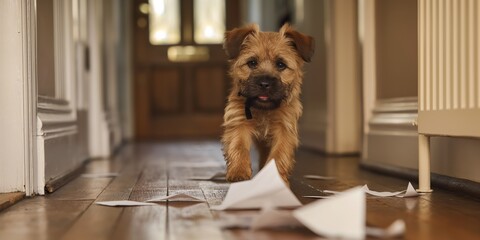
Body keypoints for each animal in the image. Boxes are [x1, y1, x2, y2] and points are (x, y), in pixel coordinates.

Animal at [221, 23, 316, 183]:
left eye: (281, 64)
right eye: (252, 63)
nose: (264, 83)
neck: (263, 110)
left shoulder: (284, 128)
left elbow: (279, 154)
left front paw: (273, 177)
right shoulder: (239, 122)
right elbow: (238, 146)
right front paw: (239, 171)